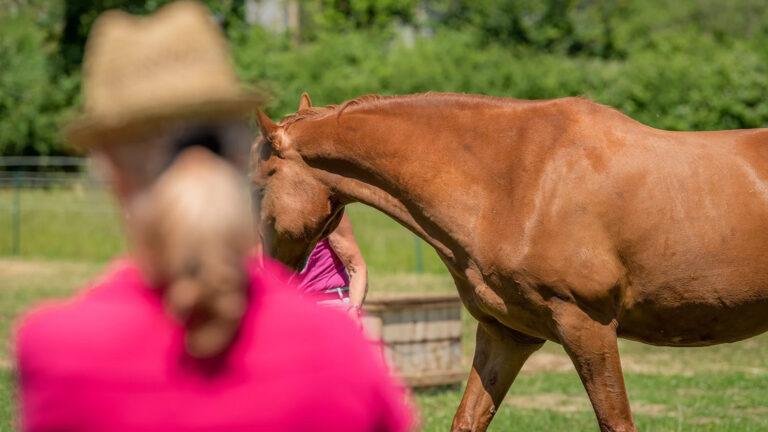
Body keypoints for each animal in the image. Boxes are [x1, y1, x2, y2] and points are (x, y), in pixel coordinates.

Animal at [252, 91, 768, 432]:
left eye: (257, 186)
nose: (266, 272)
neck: (516, 180)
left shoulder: (588, 328)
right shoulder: (507, 334)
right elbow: (467, 420)